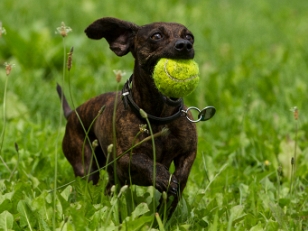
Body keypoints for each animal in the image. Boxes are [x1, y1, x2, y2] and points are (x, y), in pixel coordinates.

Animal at [57, 17, 197, 217]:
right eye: (156, 36)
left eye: (189, 37)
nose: (185, 45)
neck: (159, 117)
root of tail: (72, 114)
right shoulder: (124, 157)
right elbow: (143, 161)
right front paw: (163, 177)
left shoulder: (188, 152)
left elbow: (182, 175)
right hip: (86, 166)